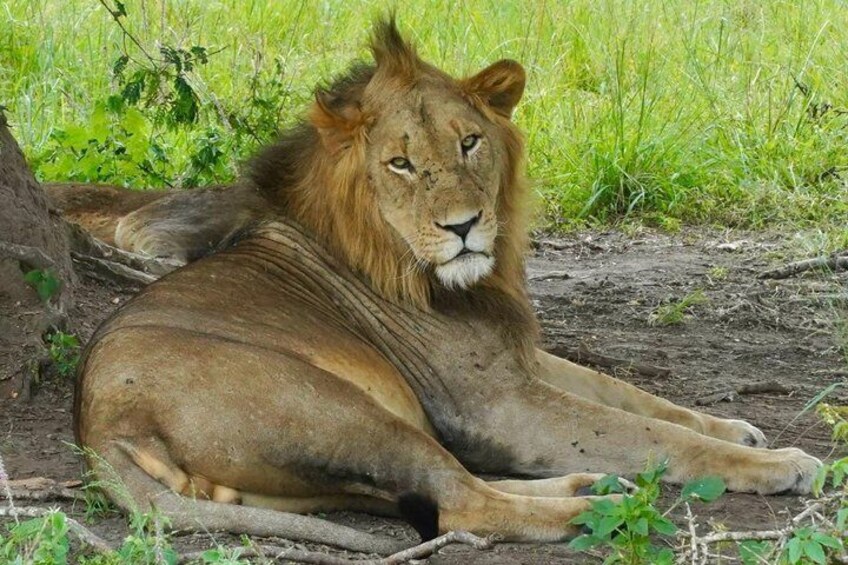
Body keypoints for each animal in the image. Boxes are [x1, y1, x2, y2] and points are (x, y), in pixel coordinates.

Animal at [74, 19, 820, 551]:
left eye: (469, 143)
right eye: (400, 163)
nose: (463, 226)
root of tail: (101, 425)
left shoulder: (515, 357)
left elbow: (634, 396)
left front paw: (740, 428)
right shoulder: (495, 406)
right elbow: (654, 433)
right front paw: (784, 461)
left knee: (447, 489)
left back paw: (588, 480)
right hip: (347, 412)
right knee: (463, 503)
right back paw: (599, 503)